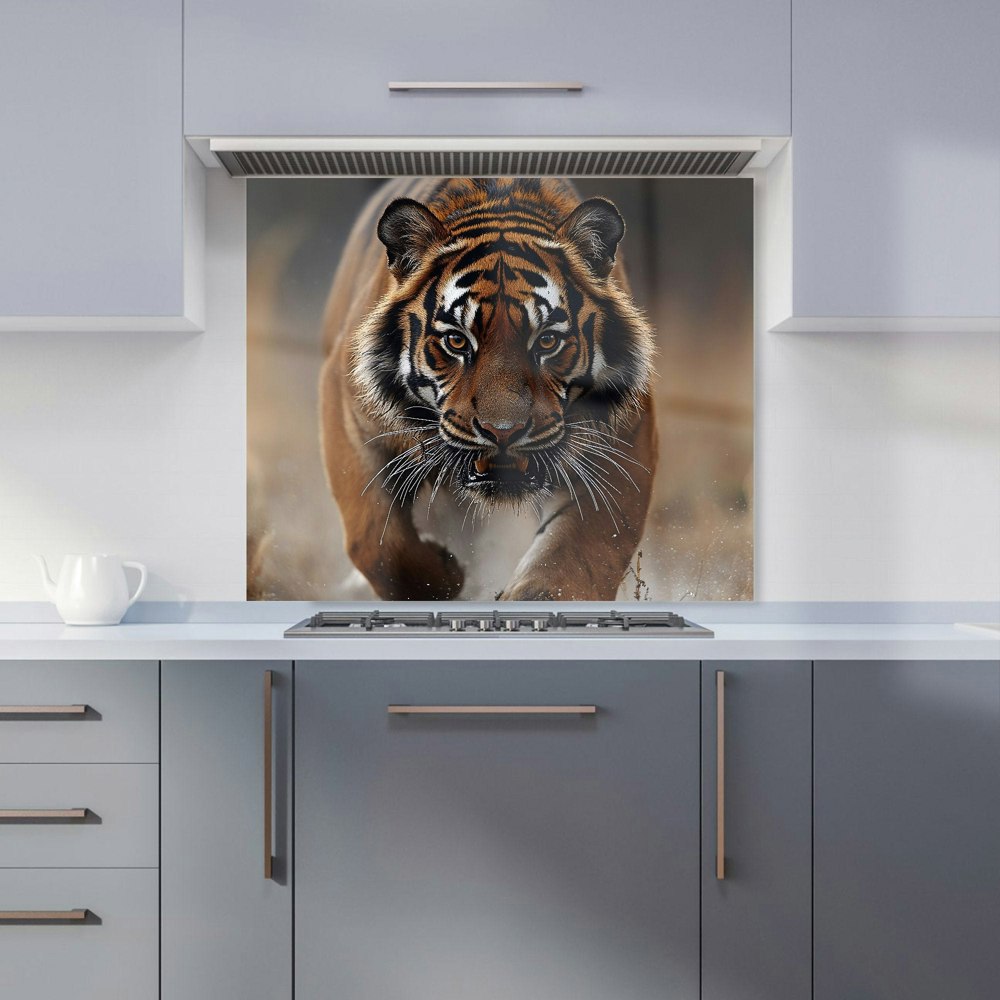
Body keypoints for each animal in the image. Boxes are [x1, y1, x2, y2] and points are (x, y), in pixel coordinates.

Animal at [319, 176, 658, 601]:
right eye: (457, 341)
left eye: (547, 341)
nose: (503, 432)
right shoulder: (351, 416)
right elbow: (378, 543)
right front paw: (446, 578)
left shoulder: (622, 438)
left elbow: (576, 557)